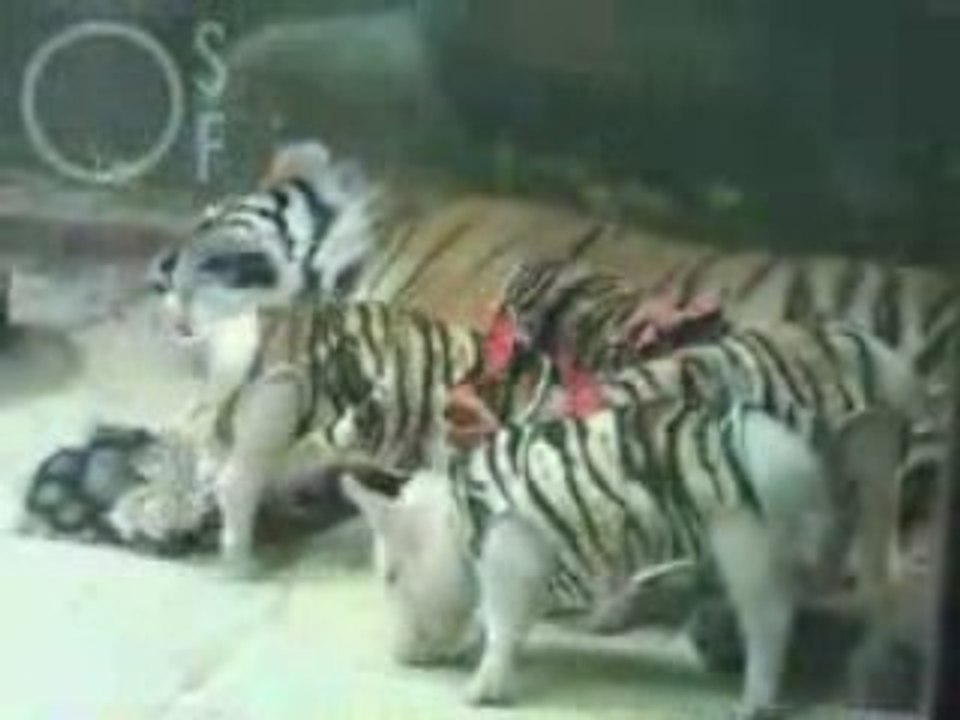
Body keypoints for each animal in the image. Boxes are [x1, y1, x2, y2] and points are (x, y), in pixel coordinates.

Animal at [340, 397, 880, 717]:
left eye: (391, 578)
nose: (400, 658)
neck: (462, 520)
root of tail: (800, 464)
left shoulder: (513, 550)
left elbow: (501, 621)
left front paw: (476, 694)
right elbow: (510, 622)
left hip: (744, 539)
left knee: (771, 621)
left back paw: (749, 704)